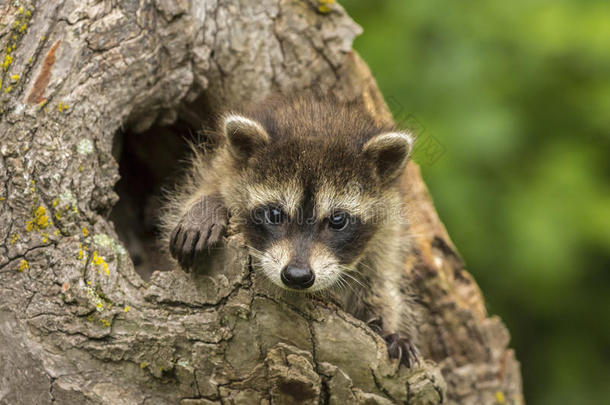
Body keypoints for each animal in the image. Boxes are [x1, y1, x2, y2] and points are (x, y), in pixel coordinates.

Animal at [164, 94, 420, 366]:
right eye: (275, 214)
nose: (297, 276)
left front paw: (389, 328)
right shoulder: (221, 168)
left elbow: (381, 285)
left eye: (337, 220)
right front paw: (207, 207)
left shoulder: (387, 236)